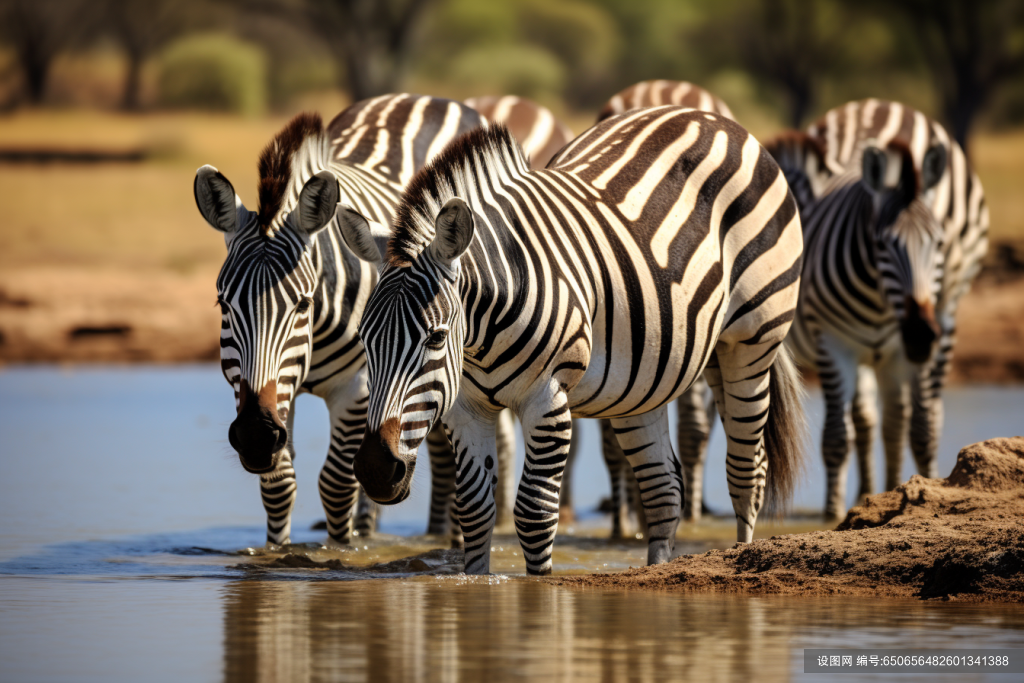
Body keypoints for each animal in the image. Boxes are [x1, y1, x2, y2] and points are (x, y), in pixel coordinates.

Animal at [191, 94, 503, 544]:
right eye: (223, 305)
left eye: (302, 304)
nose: (254, 434)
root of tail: (425, 99)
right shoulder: (271, 392)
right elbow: (280, 485)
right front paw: (275, 553)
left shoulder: (354, 388)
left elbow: (336, 486)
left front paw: (340, 550)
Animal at [339, 108, 802, 577]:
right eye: (365, 340)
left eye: (435, 337)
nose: (375, 469)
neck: (480, 337)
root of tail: (713, 118)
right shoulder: (467, 408)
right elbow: (475, 510)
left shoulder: (548, 400)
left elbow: (534, 513)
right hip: (646, 379)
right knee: (663, 489)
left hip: (751, 345)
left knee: (748, 473)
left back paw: (742, 556)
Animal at [778, 100, 987, 518]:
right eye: (882, 244)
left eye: (939, 243)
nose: (920, 334)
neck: (880, 301)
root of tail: (877, 105)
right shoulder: (834, 343)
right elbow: (836, 437)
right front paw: (833, 512)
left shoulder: (914, 344)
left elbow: (921, 429)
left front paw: (926, 489)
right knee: (868, 420)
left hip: (936, 328)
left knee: (899, 419)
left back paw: (889, 488)